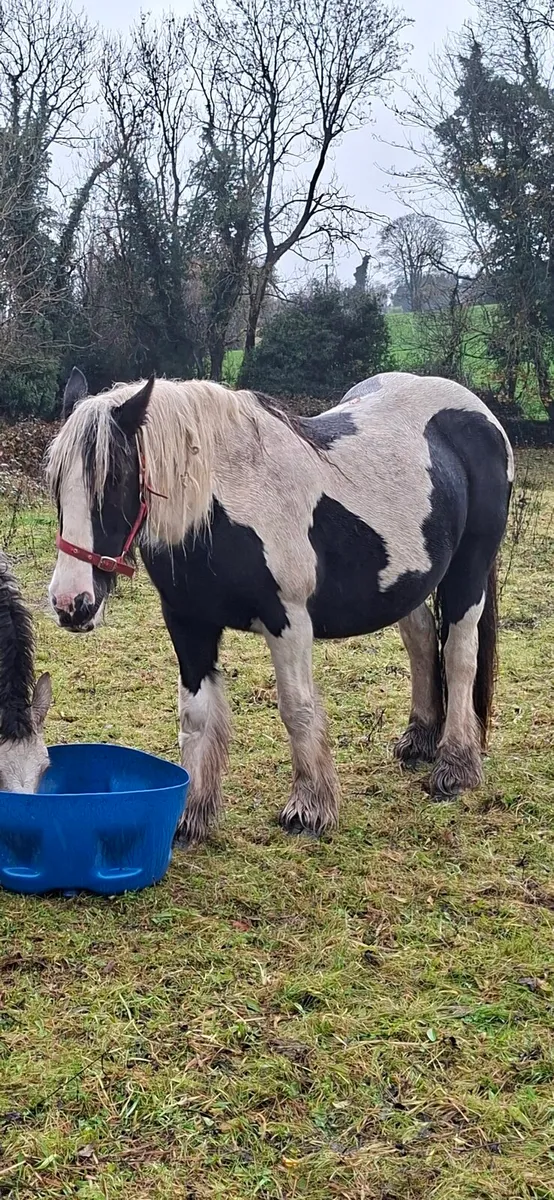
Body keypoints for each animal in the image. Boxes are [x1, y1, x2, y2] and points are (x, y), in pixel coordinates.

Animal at [46, 368, 513, 843]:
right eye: (56, 482)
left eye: (116, 479)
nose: (71, 604)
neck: (224, 505)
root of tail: (477, 410)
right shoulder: (188, 624)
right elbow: (195, 715)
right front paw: (189, 814)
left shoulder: (288, 623)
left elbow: (296, 708)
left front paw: (309, 808)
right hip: (409, 583)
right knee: (421, 642)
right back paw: (419, 740)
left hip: (468, 575)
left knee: (459, 656)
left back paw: (456, 765)